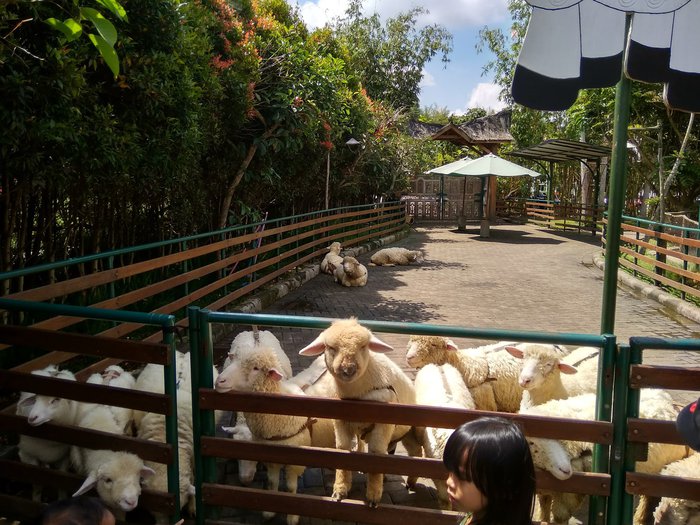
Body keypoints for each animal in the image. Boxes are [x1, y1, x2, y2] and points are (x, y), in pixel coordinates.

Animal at [215, 348, 334, 525]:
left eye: (256, 368)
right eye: (234, 360)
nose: (219, 381)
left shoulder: (295, 461)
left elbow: (291, 487)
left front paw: (292, 517)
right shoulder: (271, 458)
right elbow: (272, 483)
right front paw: (269, 512)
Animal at [299, 318, 424, 507]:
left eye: (364, 346)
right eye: (330, 347)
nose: (348, 369)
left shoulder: (384, 424)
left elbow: (376, 453)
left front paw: (373, 496)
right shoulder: (340, 422)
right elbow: (342, 449)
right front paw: (340, 490)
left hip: (408, 430)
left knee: (414, 452)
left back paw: (410, 482)